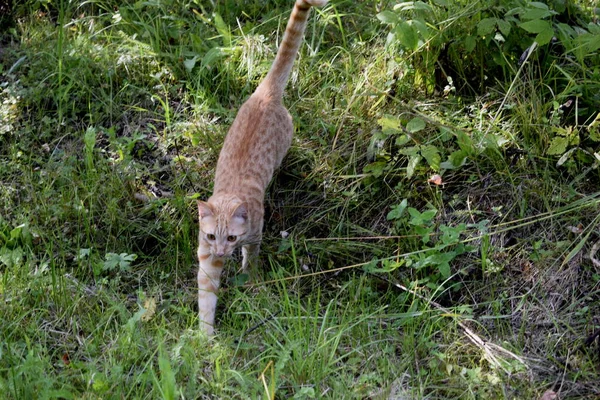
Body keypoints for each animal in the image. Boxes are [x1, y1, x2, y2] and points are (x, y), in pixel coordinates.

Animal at [197, 0, 328, 334]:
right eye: (212, 237)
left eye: (231, 238)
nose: (222, 252)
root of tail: (265, 92)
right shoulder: (206, 258)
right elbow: (207, 296)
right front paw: (204, 335)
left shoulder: (253, 237)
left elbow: (251, 261)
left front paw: (250, 280)